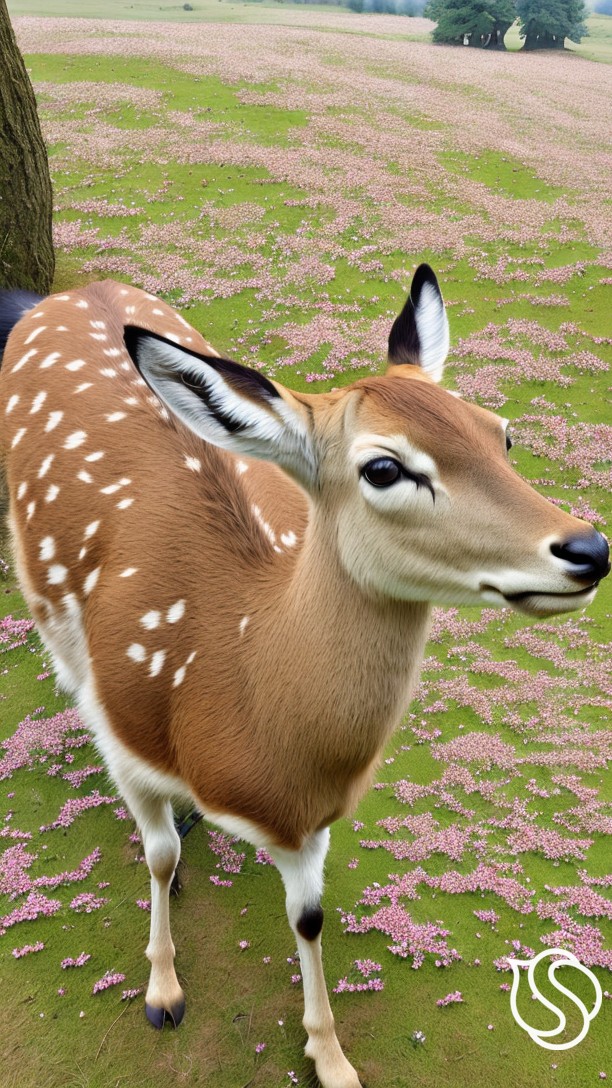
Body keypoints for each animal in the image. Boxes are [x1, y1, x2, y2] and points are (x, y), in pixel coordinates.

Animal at [0, 265, 609, 1088]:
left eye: (501, 432)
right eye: (384, 467)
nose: (588, 548)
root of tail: (62, 294)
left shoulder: (313, 819)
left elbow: (309, 915)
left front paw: (331, 1055)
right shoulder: (123, 732)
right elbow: (157, 857)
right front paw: (163, 990)